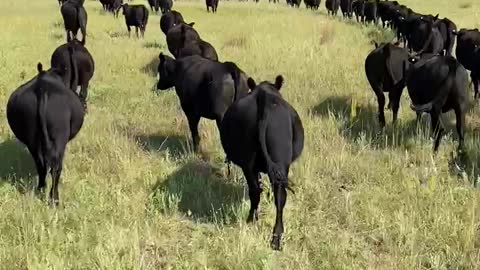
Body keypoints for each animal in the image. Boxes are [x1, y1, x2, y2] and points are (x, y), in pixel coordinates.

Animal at [6, 62, 84, 205]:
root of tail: (42, 88)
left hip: (31, 138)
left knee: (40, 165)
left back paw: (40, 190)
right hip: (60, 136)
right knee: (56, 167)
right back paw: (54, 198)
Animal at [218, 75, 302, 250]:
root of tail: (264, 99)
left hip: (248, 164)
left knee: (257, 191)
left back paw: (252, 220)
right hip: (279, 162)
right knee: (278, 196)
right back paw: (276, 238)